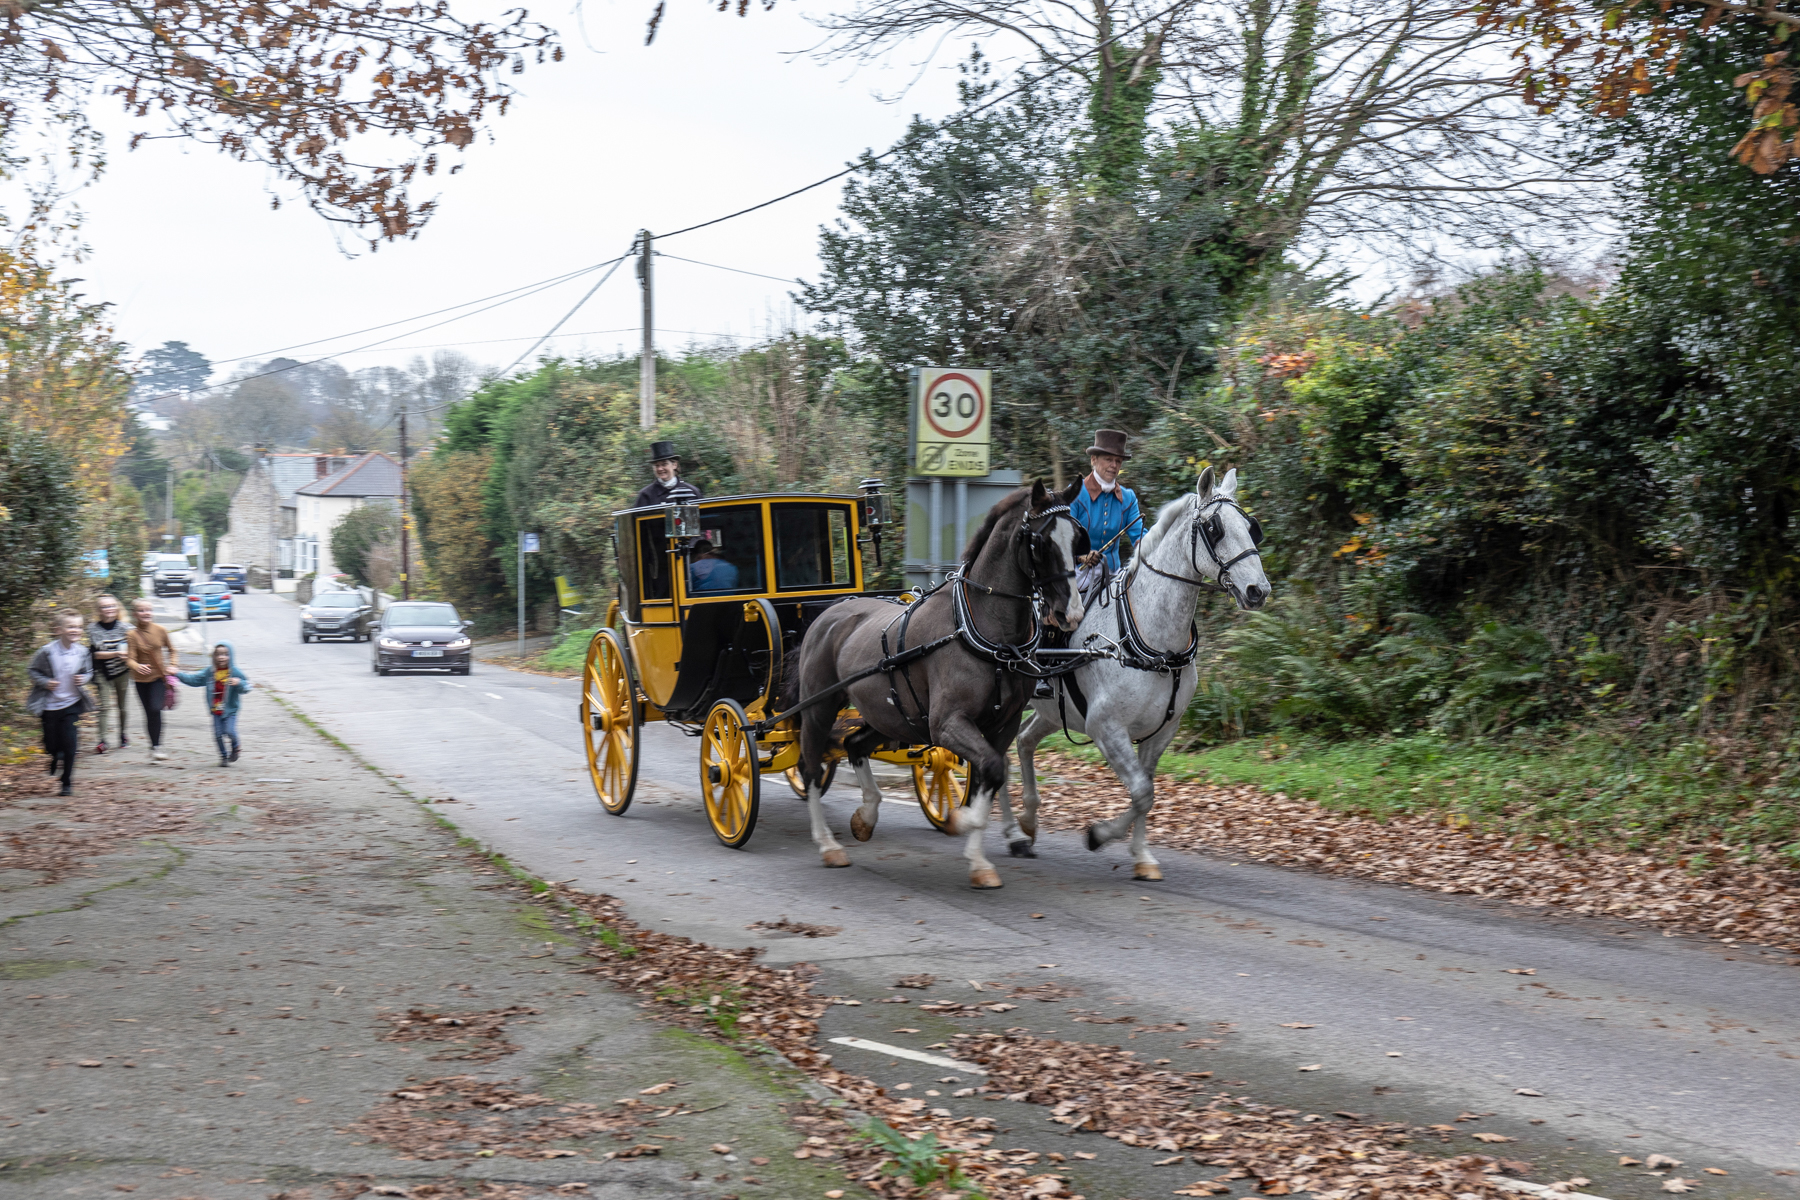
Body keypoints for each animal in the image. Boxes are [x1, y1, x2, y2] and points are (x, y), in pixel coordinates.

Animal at [799, 482, 1080, 888]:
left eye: (1078, 537)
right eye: (1041, 543)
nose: (1070, 613)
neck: (982, 629)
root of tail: (831, 612)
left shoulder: (1002, 724)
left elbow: (992, 773)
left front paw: (980, 859)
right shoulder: (946, 723)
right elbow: (991, 770)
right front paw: (962, 822)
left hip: (889, 717)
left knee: (854, 744)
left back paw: (866, 816)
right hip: (818, 708)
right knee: (810, 769)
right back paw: (826, 844)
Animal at [1000, 467, 1281, 881]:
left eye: (1250, 527)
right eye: (1214, 528)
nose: (1257, 590)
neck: (1153, 639)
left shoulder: (1161, 730)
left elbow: (1145, 792)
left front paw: (1141, 856)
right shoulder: (1105, 727)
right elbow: (1141, 791)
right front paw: (1098, 835)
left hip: (1052, 713)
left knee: (1023, 742)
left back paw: (1028, 822)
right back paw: (1009, 830)